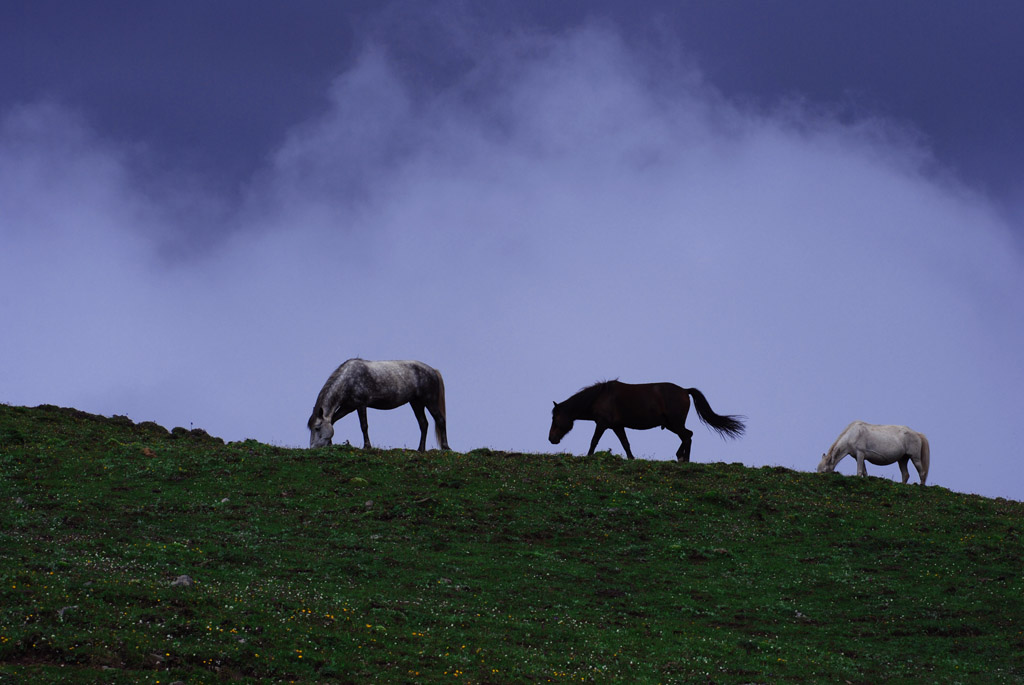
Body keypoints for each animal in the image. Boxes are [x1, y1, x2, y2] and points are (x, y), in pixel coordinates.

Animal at [303, 360, 448, 450]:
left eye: (317, 428)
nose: (312, 448)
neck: (349, 380)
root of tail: (433, 371)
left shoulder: (360, 405)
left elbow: (364, 426)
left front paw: (367, 446)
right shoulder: (348, 407)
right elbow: (333, 420)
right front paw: (330, 443)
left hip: (429, 401)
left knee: (440, 420)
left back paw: (445, 447)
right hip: (416, 403)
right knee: (423, 424)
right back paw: (420, 449)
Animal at [552, 378, 745, 458]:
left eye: (554, 418)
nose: (551, 439)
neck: (600, 397)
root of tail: (685, 390)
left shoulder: (602, 424)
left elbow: (594, 441)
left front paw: (588, 457)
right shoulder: (617, 426)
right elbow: (626, 444)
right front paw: (631, 459)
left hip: (675, 423)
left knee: (687, 436)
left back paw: (682, 458)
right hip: (671, 425)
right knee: (688, 435)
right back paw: (682, 458)